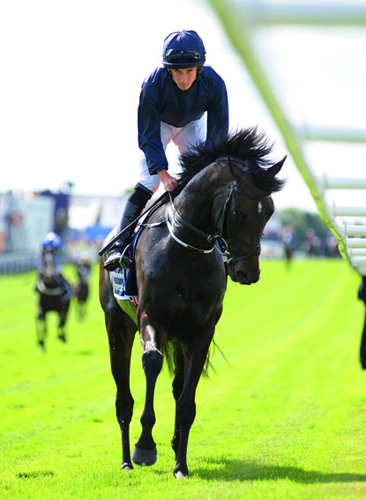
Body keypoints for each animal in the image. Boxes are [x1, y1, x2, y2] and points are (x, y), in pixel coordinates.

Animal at [98, 128, 284, 476]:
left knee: (175, 386)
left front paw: (180, 464)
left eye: (269, 211)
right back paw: (127, 458)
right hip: (117, 327)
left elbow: (186, 399)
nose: (248, 272)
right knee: (123, 398)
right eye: (238, 212)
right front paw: (145, 447)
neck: (186, 250)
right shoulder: (151, 317)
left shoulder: (199, 332)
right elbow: (152, 363)